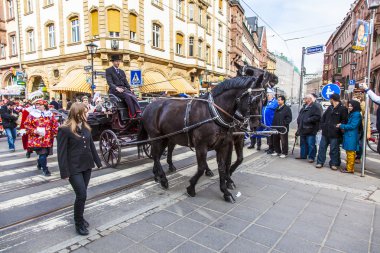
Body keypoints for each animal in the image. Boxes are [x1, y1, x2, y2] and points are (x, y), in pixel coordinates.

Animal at [138, 76, 266, 203]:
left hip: (165, 138)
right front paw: (191, 188)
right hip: (156, 138)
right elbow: (201, 167)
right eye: (254, 100)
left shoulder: (224, 144)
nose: (256, 125)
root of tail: (149, 105)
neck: (213, 112)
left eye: (264, 100)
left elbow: (223, 166)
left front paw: (225, 191)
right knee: (156, 156)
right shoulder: (202, 145)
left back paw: (157, 176)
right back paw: (163, 179)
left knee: (158, 155)